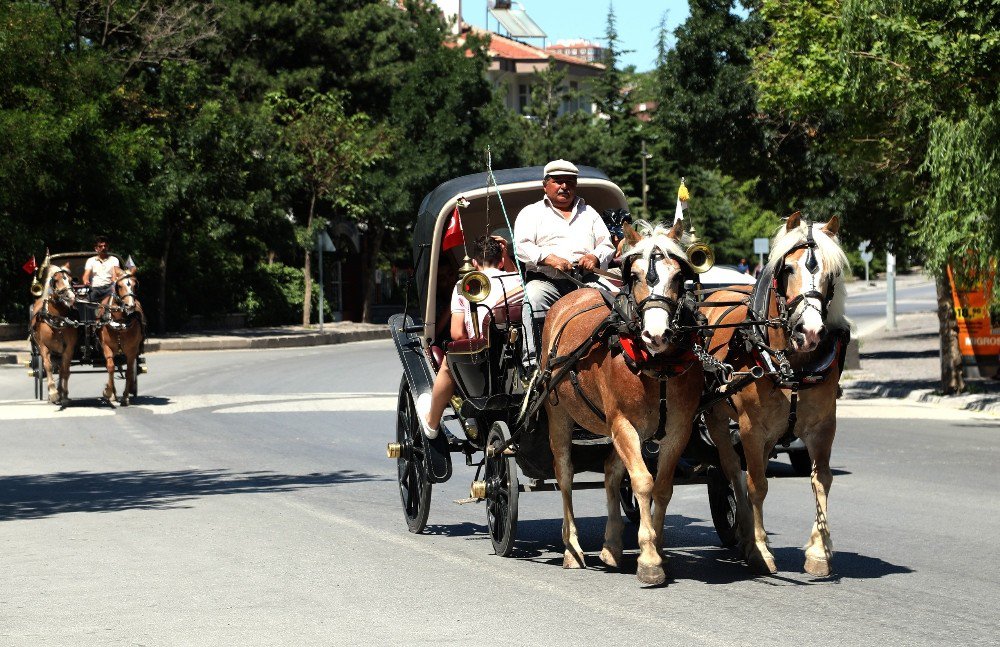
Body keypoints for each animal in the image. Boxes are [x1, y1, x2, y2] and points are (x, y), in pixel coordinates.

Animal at [29, 264, 79, 404]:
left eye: (70, 280)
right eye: (56, 280)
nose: (70, 297)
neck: (57, 319)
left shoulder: (69, 348)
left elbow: (65, 369)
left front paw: (64, 394)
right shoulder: (43, 347)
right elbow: (48, 366)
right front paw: (53, 393)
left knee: (62, 369)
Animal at [97, 272, 146, 404]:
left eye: (135, 285)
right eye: (119, 285)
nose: (130, 305)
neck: (120, 323)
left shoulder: (132, 351)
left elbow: (129, 372)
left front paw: (125, 396)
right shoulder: (107, 347)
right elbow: (110, 367)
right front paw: (108, 392)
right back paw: (113, 393)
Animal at [540, 220, 704, 584]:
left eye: (678, 276)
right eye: (637, 275)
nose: (656, 334)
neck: (656, 364)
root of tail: (576, 292)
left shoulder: (678, 429)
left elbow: (662, 487)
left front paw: (657, 550)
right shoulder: (623, 423)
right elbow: (642, 482)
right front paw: (649, 560)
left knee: (610, 471)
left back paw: (612, 545)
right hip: (558, 414)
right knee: (565, 474)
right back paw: (571, 548)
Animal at [700, 213, 848, 576]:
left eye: (832, 272)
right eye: (788, 269)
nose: (810, 331)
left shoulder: (823, 427)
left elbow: (821, 479)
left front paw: (819, 552)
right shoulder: (751, 429)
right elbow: (756, 484)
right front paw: (759, 550)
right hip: (718, 418)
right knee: (732, 470)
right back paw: (748, 535)